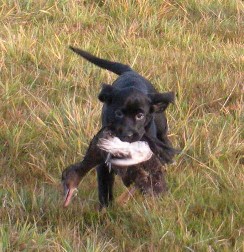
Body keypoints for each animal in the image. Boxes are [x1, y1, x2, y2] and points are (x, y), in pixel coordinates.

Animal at [65, 46, 175, 207]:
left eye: (140, 115)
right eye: (118, 113)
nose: (127, 135)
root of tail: (130, 72)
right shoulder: (103, 165)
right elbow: (104, 188)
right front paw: (106, 209)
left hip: (161, 125)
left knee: (164, 139)